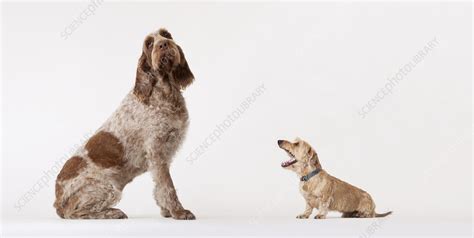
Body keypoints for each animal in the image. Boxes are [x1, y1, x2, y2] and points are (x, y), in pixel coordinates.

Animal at [54, 28, 195, 219]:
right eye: (149, 44)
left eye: (166, 35)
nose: (163, 44)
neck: (166, 93)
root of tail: (57, 199)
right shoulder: (156, 151)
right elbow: (167, 187)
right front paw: (178, 212)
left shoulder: (163, 155)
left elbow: (159, 187)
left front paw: (166, 211)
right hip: (108, 188)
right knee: (74, 213)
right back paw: (113, 213)